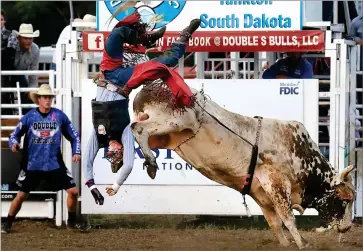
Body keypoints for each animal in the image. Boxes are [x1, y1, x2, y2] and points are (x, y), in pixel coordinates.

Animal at [126, 78, 356, 249]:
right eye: (346, 199)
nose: (347, 228)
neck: (302, 156)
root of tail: (150, 88)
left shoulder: (260, 193)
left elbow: (275, 223)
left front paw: (286, 244)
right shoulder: (276, 182)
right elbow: (288, 217)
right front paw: (302, 244)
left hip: (165, 136)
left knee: (137, 132)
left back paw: (149, 162)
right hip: (174, 122)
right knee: (137, 128)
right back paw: (150, 162)